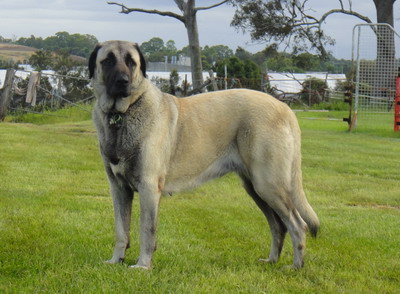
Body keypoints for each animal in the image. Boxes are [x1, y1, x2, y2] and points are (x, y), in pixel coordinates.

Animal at [89, 40, 320, 270]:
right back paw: (271, 260)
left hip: (268, 184)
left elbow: (147, 230)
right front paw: (116, 260)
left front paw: (143, 266)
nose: (123, 81)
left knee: (298, 225)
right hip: (256, 188)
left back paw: (296, 266)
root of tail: (285, 108)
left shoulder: (149, 186)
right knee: (278, 225)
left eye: (131, 62)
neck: (122, 114)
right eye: (108, 61)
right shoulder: (119, 188)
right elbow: (121, 230)